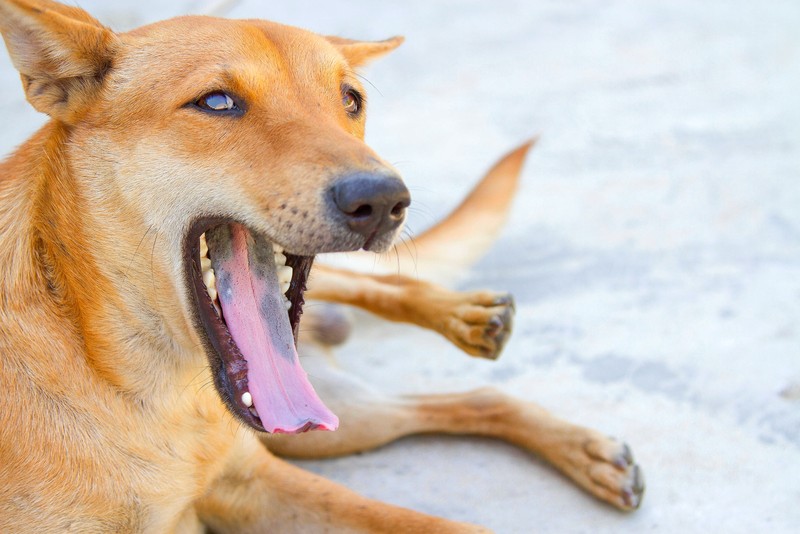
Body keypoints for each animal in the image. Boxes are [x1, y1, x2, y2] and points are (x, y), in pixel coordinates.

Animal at [0, 2, 644, 532]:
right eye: (216, 102)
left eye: (351, 99)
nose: (383, 200)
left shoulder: (254, 478)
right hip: (330, 429)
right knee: (456, 401)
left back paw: (474, 324)